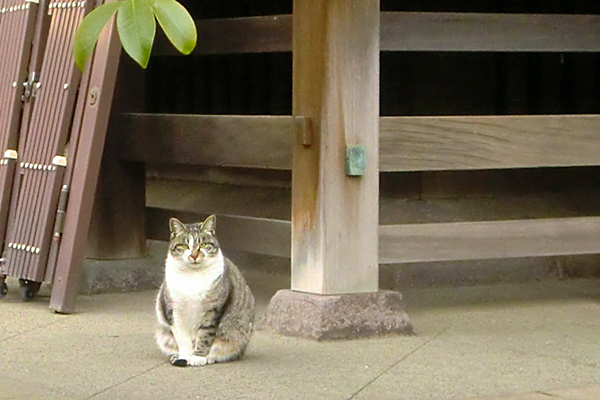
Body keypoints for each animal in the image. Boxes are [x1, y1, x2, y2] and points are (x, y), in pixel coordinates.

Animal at [155, 216, 253, 366]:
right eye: (184, 246)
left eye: (203, 245)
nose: (194, 255)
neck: (193, 276)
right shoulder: (174, 312)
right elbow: (182, 339)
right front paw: (184, 357)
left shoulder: (213, 310)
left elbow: (205, 336)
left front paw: (198, 357)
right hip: (163, 335)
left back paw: (210, 358)